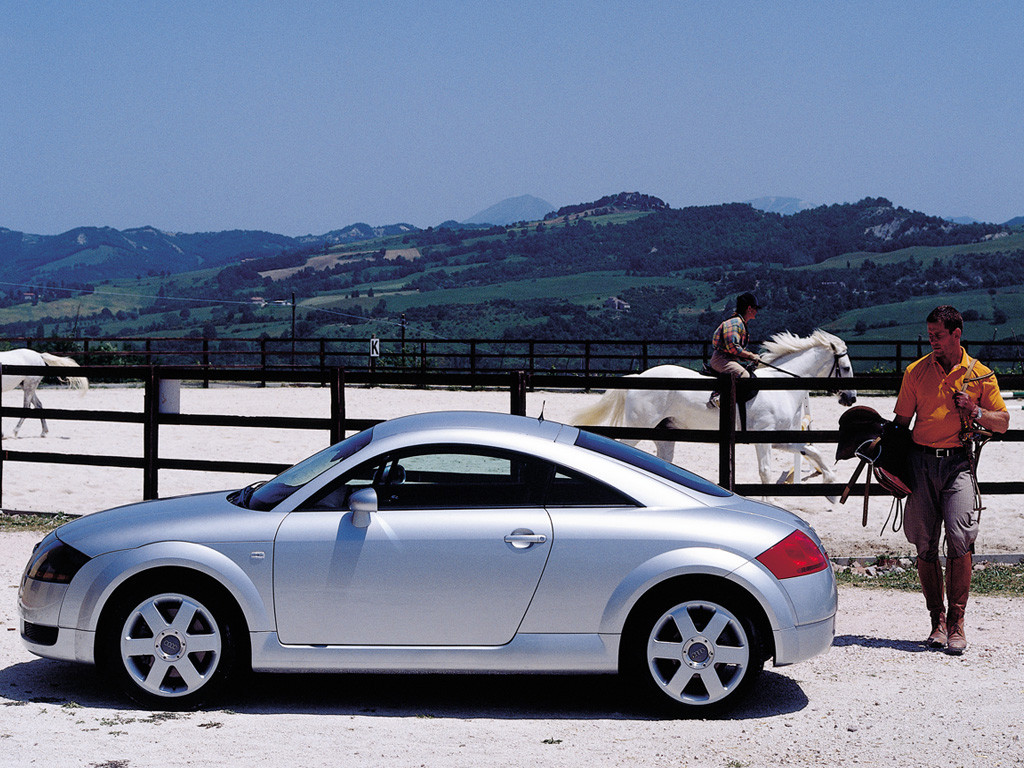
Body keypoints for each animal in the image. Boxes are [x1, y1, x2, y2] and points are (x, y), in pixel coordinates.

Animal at [577, 329, 856, 493]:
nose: (851, 398)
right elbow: (765, 471)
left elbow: (812, 450)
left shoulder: (778, 439)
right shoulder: (763, 439)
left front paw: (830, 481)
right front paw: (771, 501)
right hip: (640, 427)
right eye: (845, 368)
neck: (780, 386)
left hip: (664, 433)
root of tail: (640, 377)